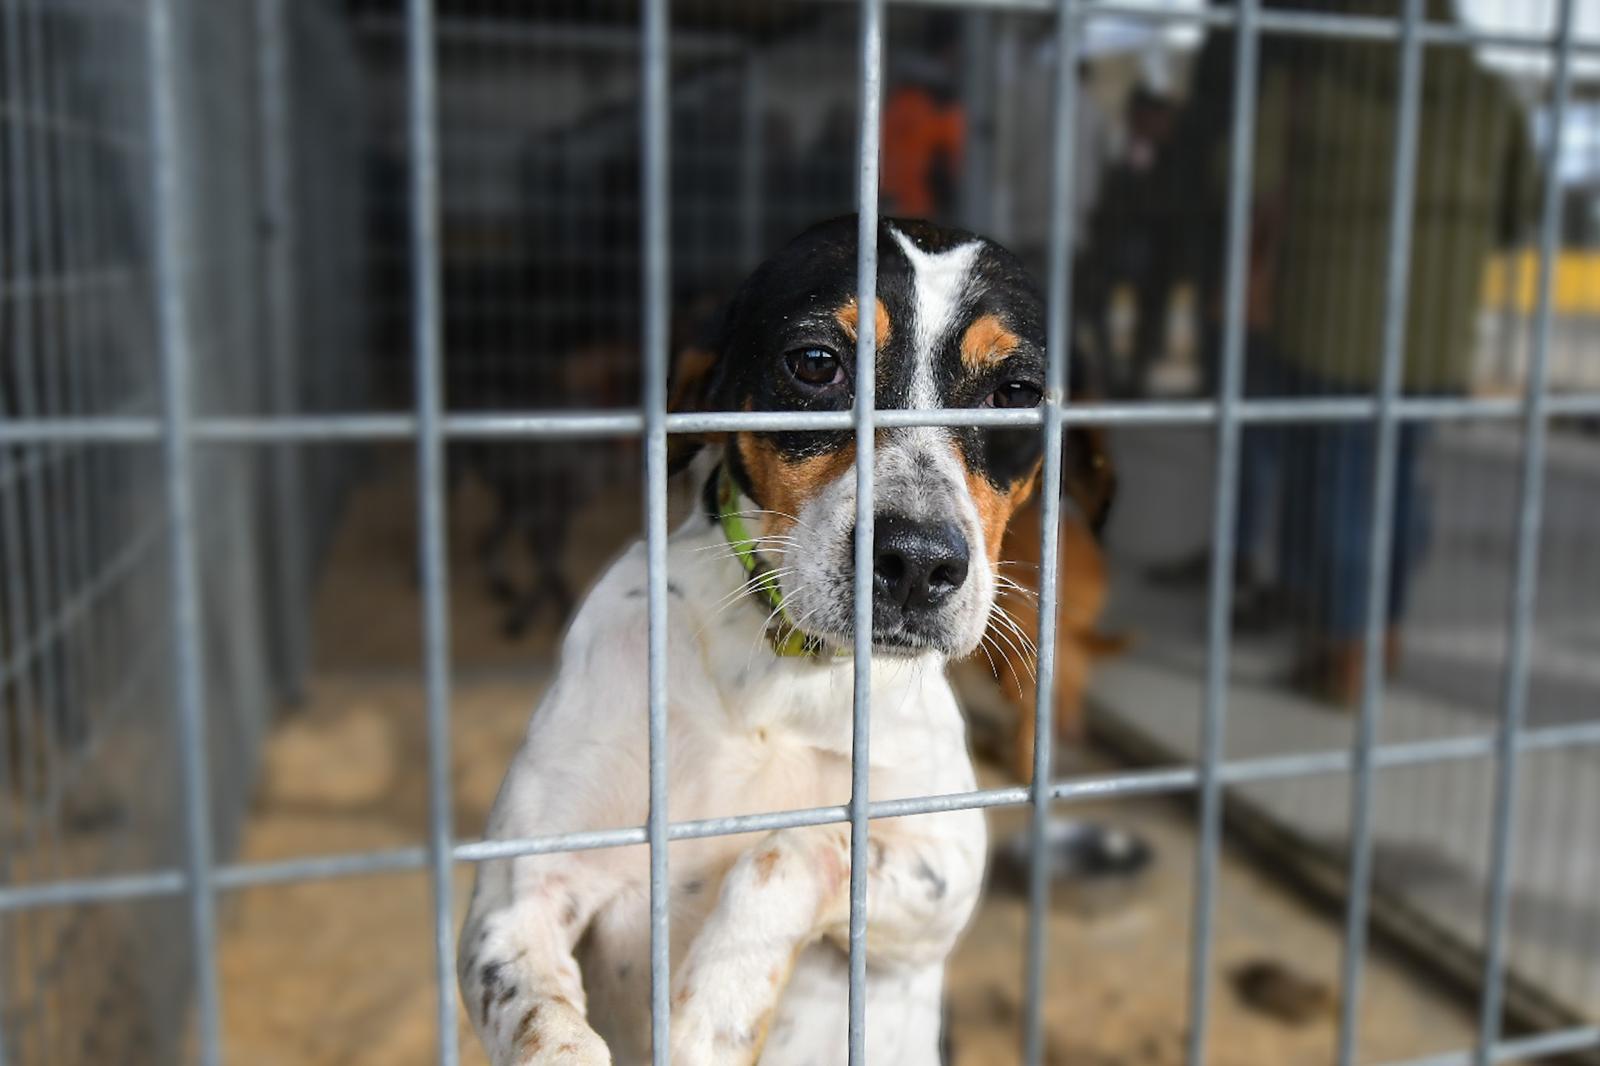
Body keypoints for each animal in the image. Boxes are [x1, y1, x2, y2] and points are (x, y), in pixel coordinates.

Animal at [457, 211, 1056, 1056]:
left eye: (1017, 394)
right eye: (814, 363)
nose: (916, 563)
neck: (783, 679)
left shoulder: (944, 867)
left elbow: (789, 851)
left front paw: (709, 1011)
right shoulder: (518, 898)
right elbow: (548, 1025)